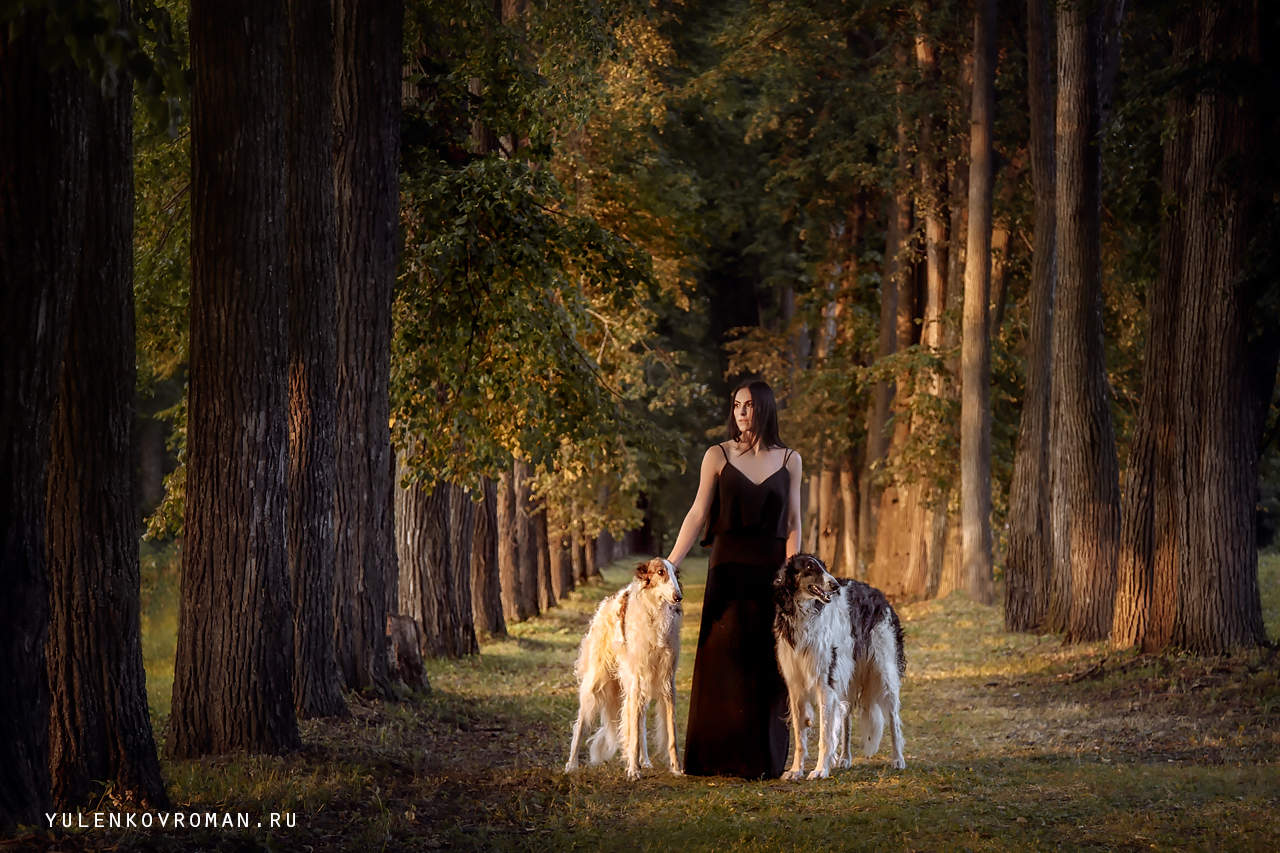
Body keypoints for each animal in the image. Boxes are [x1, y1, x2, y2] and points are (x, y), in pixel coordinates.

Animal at [565, 558, 686, 778]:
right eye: (660, 572)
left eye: (676, 573)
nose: (678, 597)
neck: (654, 616)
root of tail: (606, 603)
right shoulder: (636, 680)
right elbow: (634, 734)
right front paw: (632, 770)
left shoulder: (666, 681)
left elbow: (670, 731)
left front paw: (676, 768)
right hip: (597, 681)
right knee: (580, 724)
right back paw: (571, 765)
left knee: (640, 722)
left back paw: (645, 761)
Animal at [773, 550, 906, 778]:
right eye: (810, 567)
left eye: (824, 567)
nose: (834, 585)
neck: (804, 617)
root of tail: (881, 596)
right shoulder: (796, 685)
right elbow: (800, 736)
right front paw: (796, 770)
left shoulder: (825, 683)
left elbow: (825, 735)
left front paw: (820, 770)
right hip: (848, 678)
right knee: (846, 718)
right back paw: (844, 758)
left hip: (884, 673)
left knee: (894, 720)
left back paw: (898, 760)